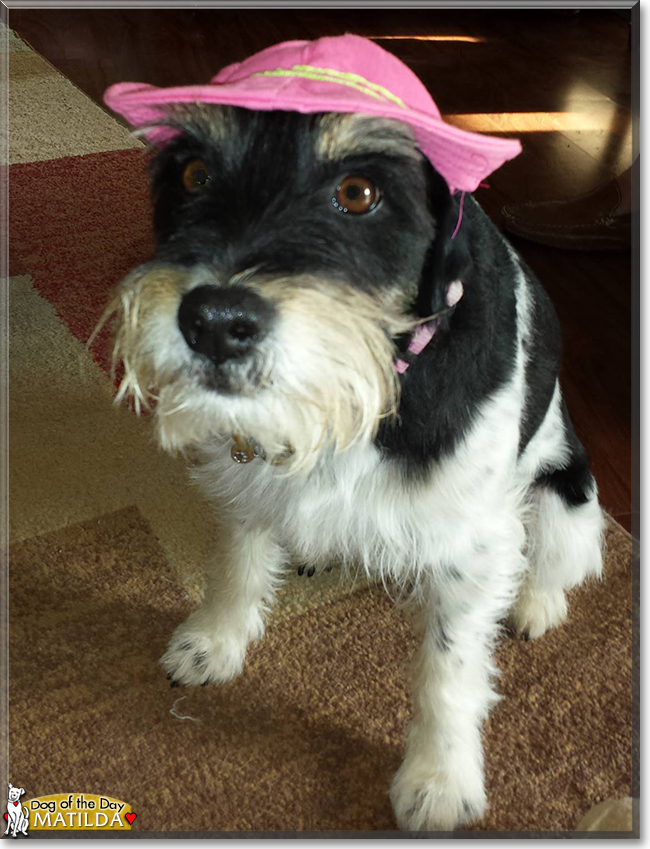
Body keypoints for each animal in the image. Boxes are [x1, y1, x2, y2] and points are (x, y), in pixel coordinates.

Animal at [101, 36, 604, 832]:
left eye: (359, 192)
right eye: (194, 172)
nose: (213, 321)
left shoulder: (472, 546)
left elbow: (449, 667)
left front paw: (438, 778)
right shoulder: (244, 477)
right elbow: (237, 562)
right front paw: (215, 641)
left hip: (566, 497)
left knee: (557, 560)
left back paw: (535, 604)